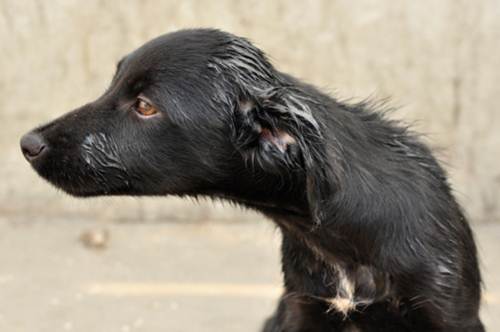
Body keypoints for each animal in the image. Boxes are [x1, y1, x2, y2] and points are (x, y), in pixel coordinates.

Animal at [21, 29, 482, 330]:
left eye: (146, 106)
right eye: (113, 83)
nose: (28, 143)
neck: (342, 243)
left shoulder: (451, 314)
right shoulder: (300, 310)